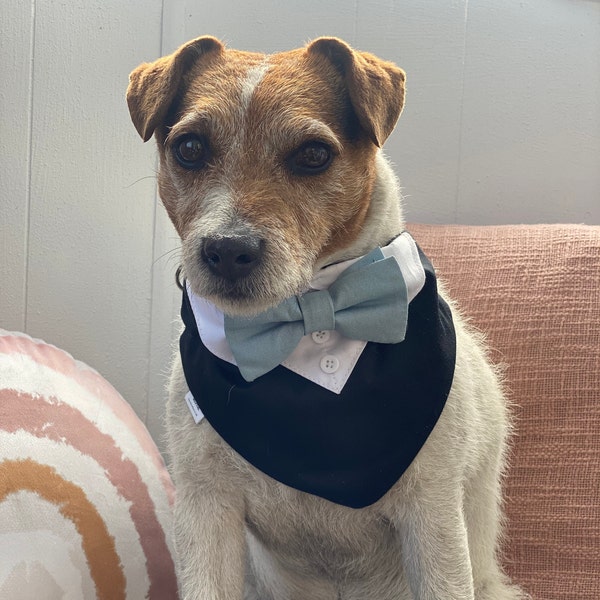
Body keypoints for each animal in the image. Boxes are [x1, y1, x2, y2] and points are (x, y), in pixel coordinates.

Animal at [126, 36, 524, 600]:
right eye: (190, 148)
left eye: (313, 155)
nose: (227, 251)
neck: (306, 322)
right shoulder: (206, 509)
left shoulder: (432, 516)